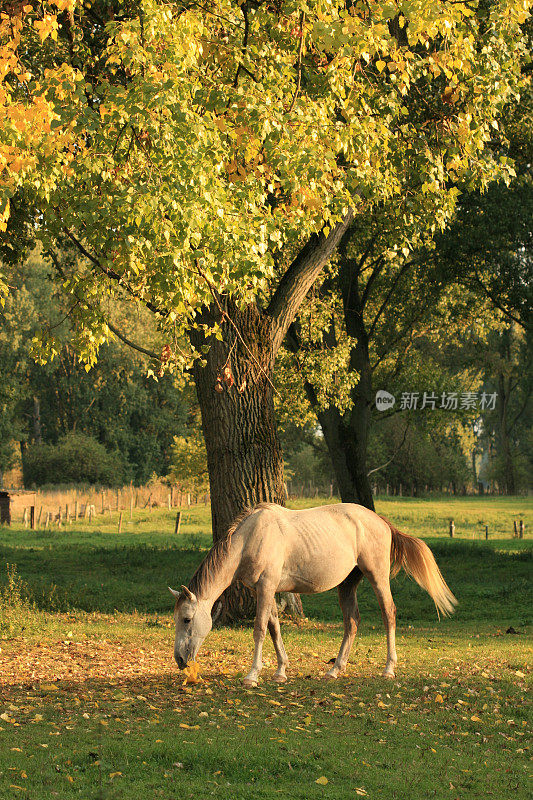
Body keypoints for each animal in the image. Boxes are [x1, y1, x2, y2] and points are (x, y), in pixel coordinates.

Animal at [168, 504, 456, 684]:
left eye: (186, 619)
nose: (180, 660)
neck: (251, 537)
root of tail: (381, 522)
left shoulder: (266, 587)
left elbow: (260, 628)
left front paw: (252, 676)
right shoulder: (266, 590)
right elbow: (274, 628)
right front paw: (280, 672)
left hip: (378, 577)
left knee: (389, 615)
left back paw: (388, 669)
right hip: (347, 584)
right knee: (352, 622)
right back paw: (335, 670)